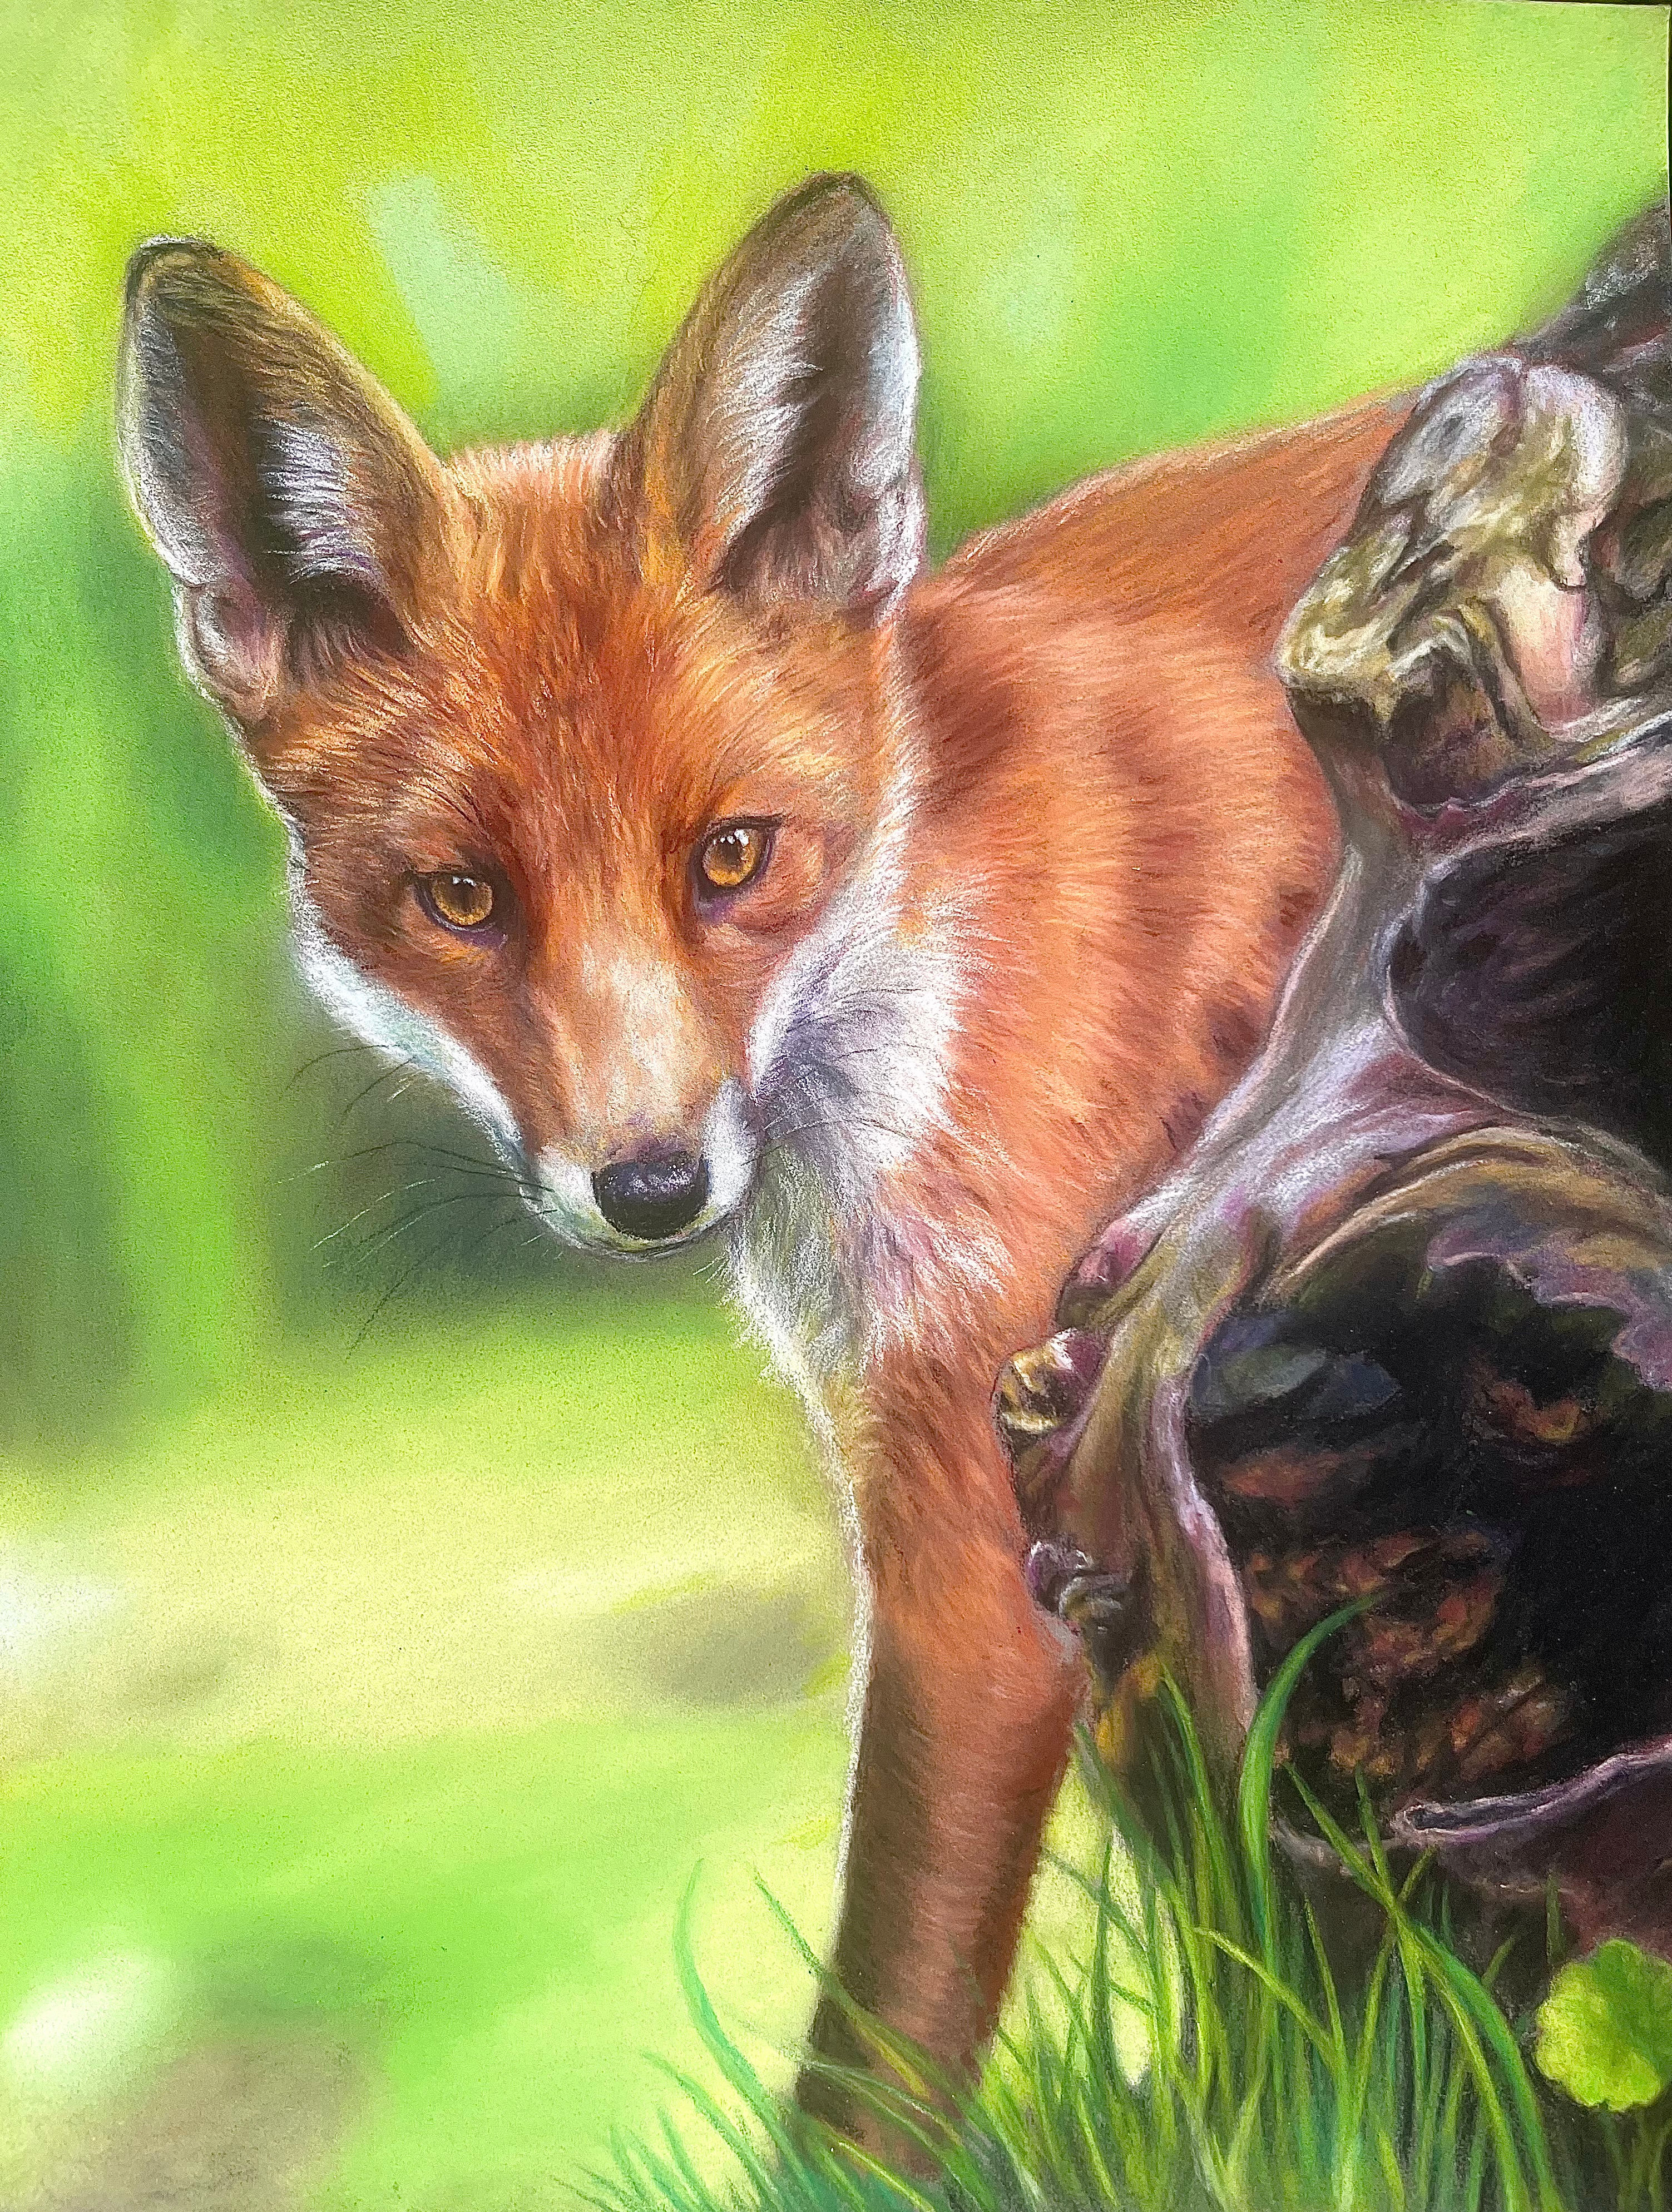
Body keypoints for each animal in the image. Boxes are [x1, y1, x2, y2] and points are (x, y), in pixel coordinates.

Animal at [116, 171, 1400, 2137]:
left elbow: (878, 2057)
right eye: (460, 900)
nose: (649, 1185)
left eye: (731, 857)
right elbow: (1237, 1899)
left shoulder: (983, 1533)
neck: (936, 898)